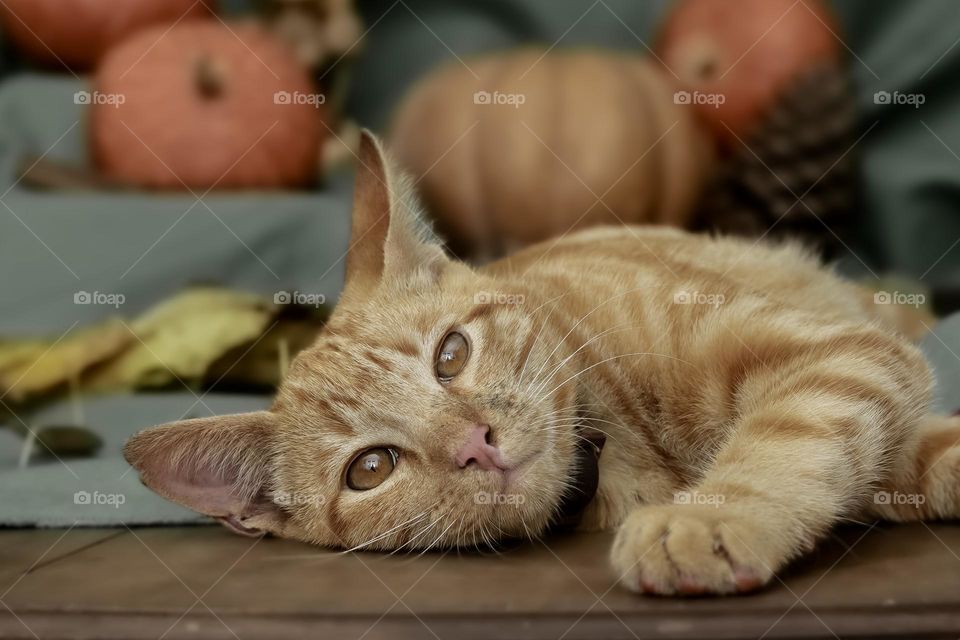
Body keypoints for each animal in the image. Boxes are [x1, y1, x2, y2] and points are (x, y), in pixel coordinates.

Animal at [125, 130, 960, 596]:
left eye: (451, 355)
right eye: (370, 469)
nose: (474, 444)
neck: (624, 456)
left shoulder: (839, 355)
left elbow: (786, 438)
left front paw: (710, 516)